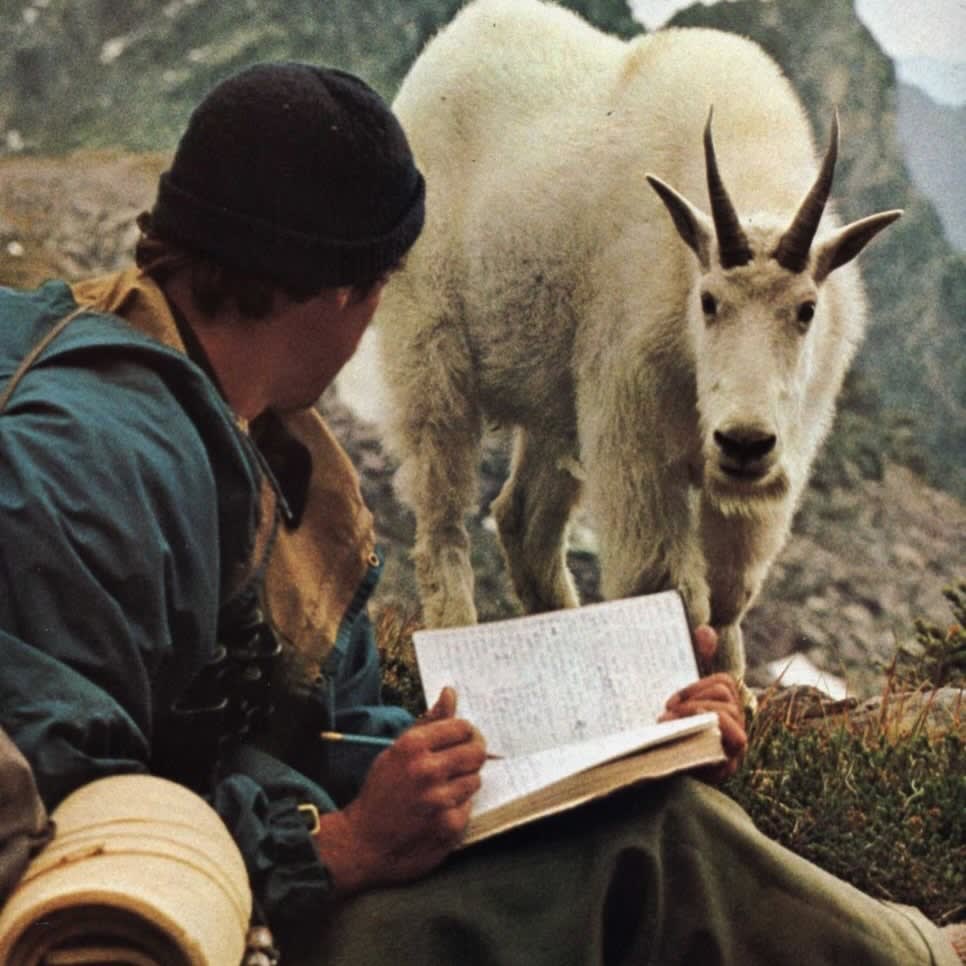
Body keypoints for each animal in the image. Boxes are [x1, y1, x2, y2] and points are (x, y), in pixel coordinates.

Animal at [375, 0, 901, 686]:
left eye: (806, 310)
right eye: (709, 301)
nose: (742, 441)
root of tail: (446, 46)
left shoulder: (777, 460)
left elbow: (729, 596)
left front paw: (735, 688)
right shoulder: (633, 419)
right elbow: (666, 582)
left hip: (558, 400)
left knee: (524, 519)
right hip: (429, 343)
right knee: (441, 513)